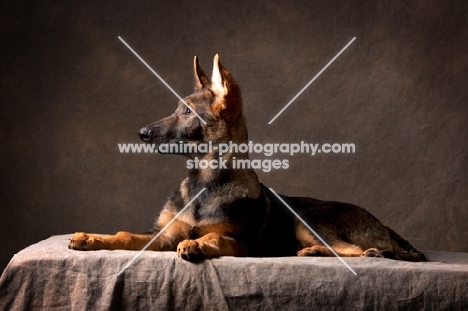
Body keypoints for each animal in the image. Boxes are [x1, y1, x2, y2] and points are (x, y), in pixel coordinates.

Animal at [68, 54, 424, 262]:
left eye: (187, 112)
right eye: (177, 109)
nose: (141, 133)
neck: (204, 182)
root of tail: (384, 226)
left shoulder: (245, 243)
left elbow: (216, 235)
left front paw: (198, 243)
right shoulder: (165, 234)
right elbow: (125, 235)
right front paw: (89, 238)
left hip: (306, 216)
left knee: (366, 252)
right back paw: (314, 251)